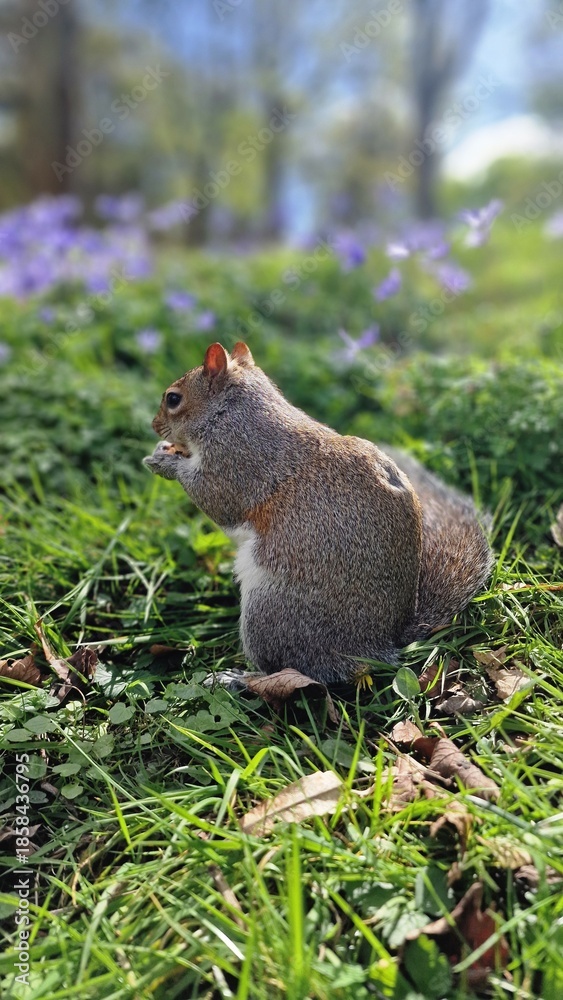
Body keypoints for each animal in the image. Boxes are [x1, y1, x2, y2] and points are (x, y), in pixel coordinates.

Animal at [143, 342, 492, 685]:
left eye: (173, 399)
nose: (154, 425)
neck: (232, 410)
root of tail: (376, 645)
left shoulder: (235, 462)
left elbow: (217, 499)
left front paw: (164, 462)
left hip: (271, 610)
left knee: (290, 666)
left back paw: (237, 678)